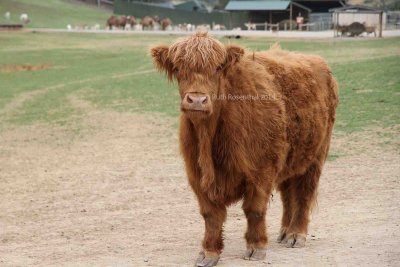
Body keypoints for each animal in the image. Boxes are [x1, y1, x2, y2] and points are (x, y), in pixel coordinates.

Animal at [150, 32, 338, 266]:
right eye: (177, 68)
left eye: (218, 67)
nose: (197, 100)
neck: (209, 137)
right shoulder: (196, 173)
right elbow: (210, 215)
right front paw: (209, 252)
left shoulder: (262, 169)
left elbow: (254, 209)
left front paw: (256, 248)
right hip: (290, 158)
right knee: (288, 195)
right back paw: (285, 232)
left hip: (316, 155)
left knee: (304, 193)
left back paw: (296, 235)